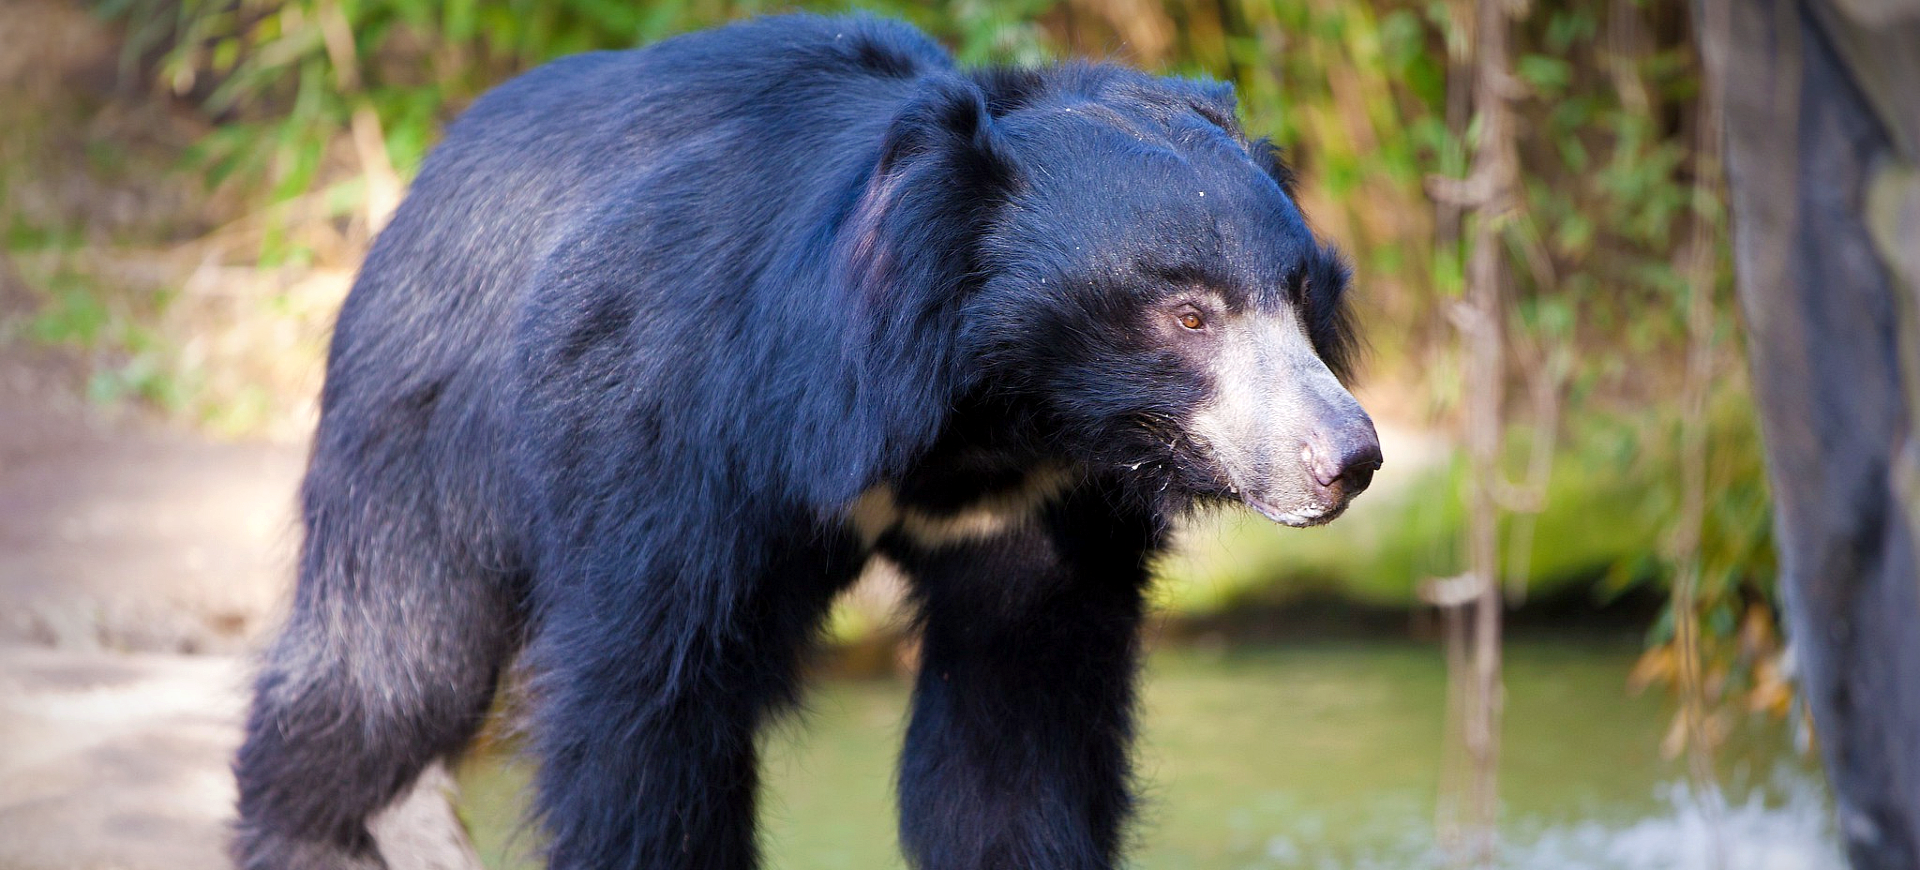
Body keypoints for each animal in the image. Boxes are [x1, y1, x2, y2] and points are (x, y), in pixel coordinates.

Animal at [232, 11, 1382, 868]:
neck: (987, 416)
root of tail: (434, 166)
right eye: (1188, 315)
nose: (1349, 458)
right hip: (425, 400)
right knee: (395, 652)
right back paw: (306, 837)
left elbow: (1016, 733)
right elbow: (645, 704)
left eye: (1300, 295)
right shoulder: (673, 413)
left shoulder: (1044, 505)